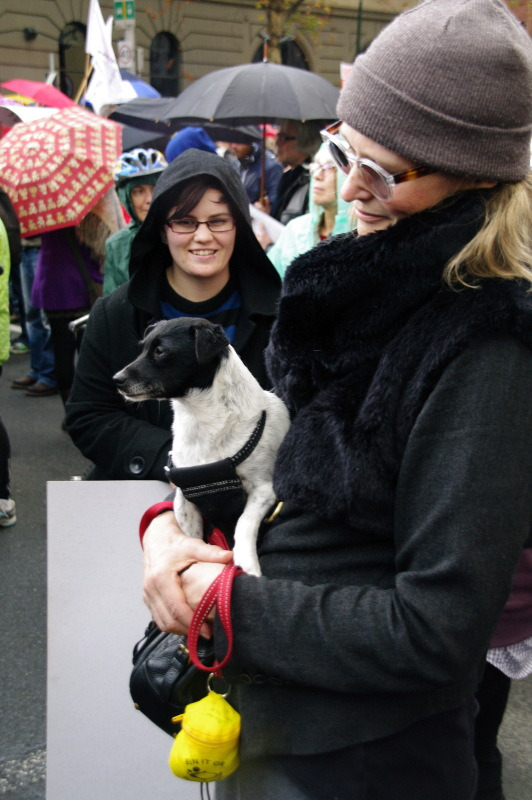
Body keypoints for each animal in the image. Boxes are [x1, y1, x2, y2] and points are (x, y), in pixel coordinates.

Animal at [113, 314, 290, 576]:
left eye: (160, 351)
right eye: (142, 348)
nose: (116, 380)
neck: (200, 421)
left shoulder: (264, 490)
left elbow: (244, 522)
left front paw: (246, 560)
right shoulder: (185, 499)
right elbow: (191, 538)